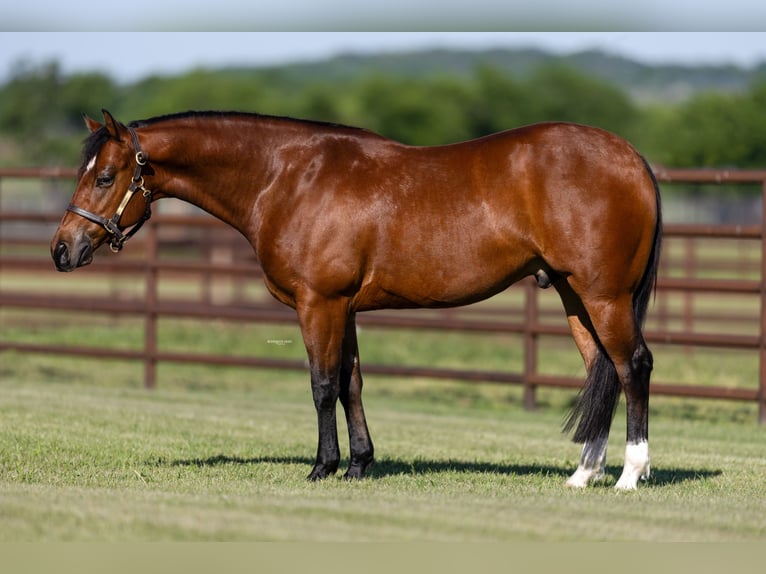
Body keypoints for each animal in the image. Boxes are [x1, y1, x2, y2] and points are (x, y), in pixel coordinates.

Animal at [51, 109, 661, 490]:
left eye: (105, 176)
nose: (62, 249)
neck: (289, 177)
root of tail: (632, 157)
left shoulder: (318, 302)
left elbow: (322, 385)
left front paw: (323, 467)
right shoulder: (343, 307)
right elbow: (351, 383)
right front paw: (360, 465)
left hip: (604, 295)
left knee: (633, 365)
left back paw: (631, 474)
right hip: (574, 296)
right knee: (603, 368)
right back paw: (582, 474)